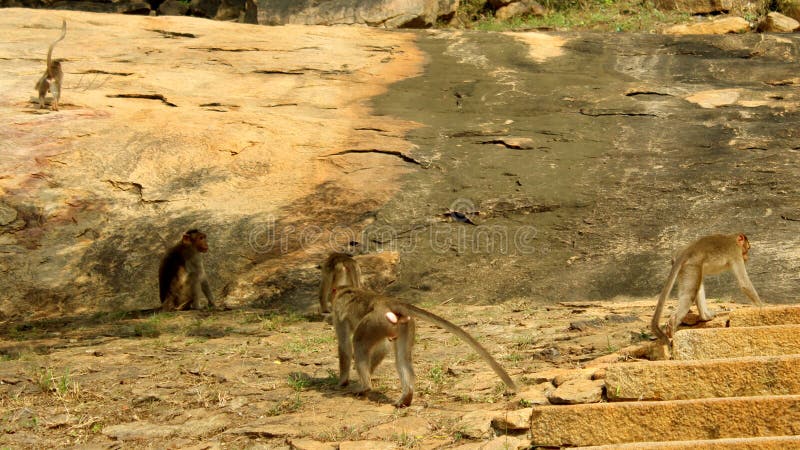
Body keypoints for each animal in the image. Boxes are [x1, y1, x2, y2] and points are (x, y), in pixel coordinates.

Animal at [332, 288, 516, 408]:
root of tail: (390, 301)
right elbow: (383, 348)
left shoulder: (339, 314)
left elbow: (345, 346)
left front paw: (342, 382)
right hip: (403, 324)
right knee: (403, 359)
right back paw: (406, 397)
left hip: (375, 321)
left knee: (359, 343)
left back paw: (365, 387)